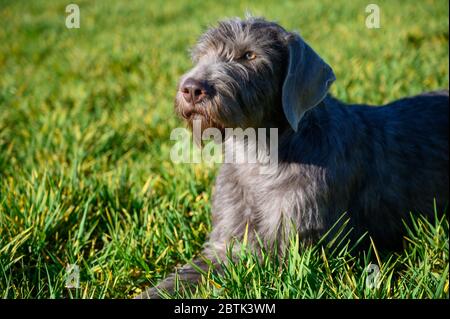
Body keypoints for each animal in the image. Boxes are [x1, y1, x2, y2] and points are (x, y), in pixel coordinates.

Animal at [135, 16, 448, 298]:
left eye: (249, 55)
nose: (191, 88)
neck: (258, 156)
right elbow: (187, 274)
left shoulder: (287, 249)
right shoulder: (225, 240)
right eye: (201, 56)